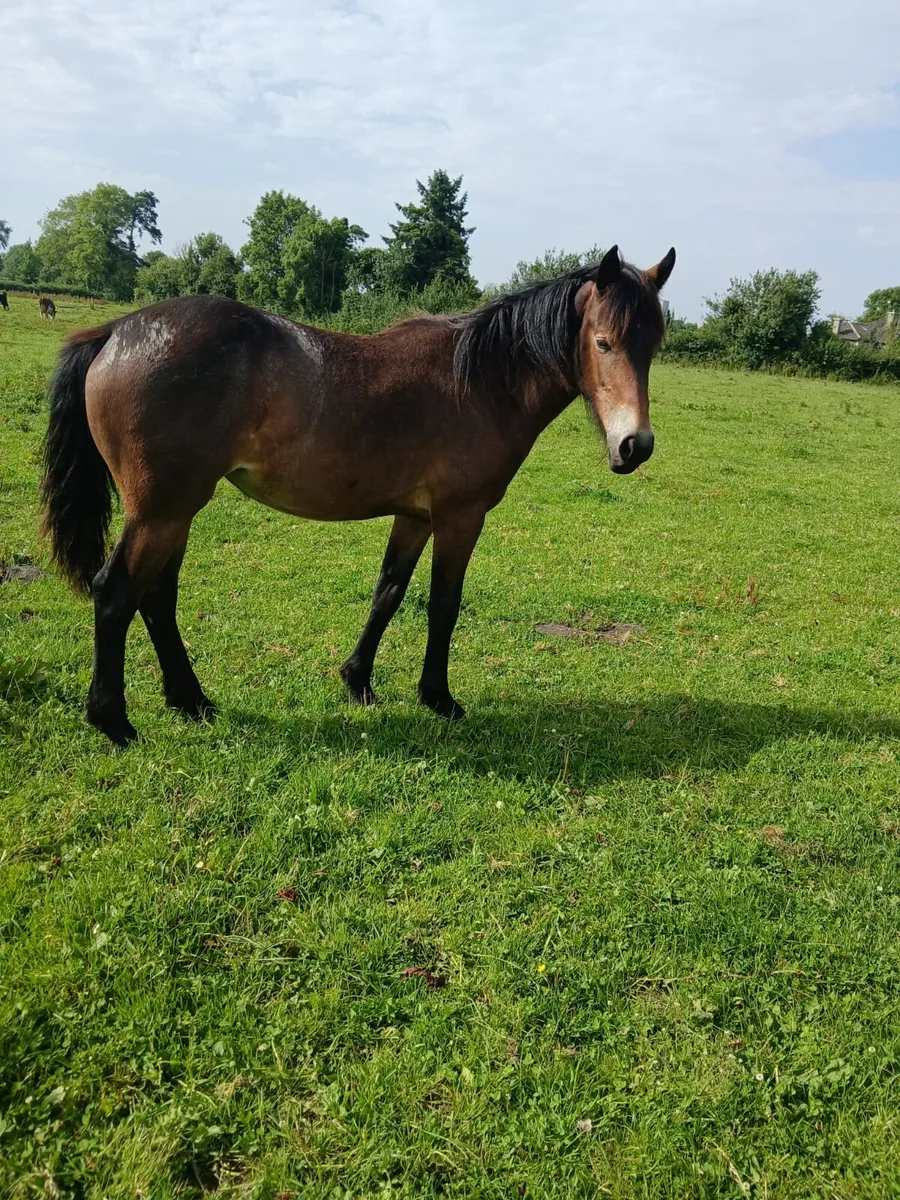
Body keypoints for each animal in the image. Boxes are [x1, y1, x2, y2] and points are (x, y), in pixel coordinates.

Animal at [40, 244, 675, 746]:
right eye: (604, 342)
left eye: (654, 345)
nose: (635, 446)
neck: (480, 381)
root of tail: (116, 332)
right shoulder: (460, 516)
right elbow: (443, 605)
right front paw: (438, 697)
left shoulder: (415, 516)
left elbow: (388, 594)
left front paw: (358, 682)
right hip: (162, 511)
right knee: (116, 592)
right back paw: (114, 721)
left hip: (175, 511)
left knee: (156, 599)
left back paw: (190, 700)